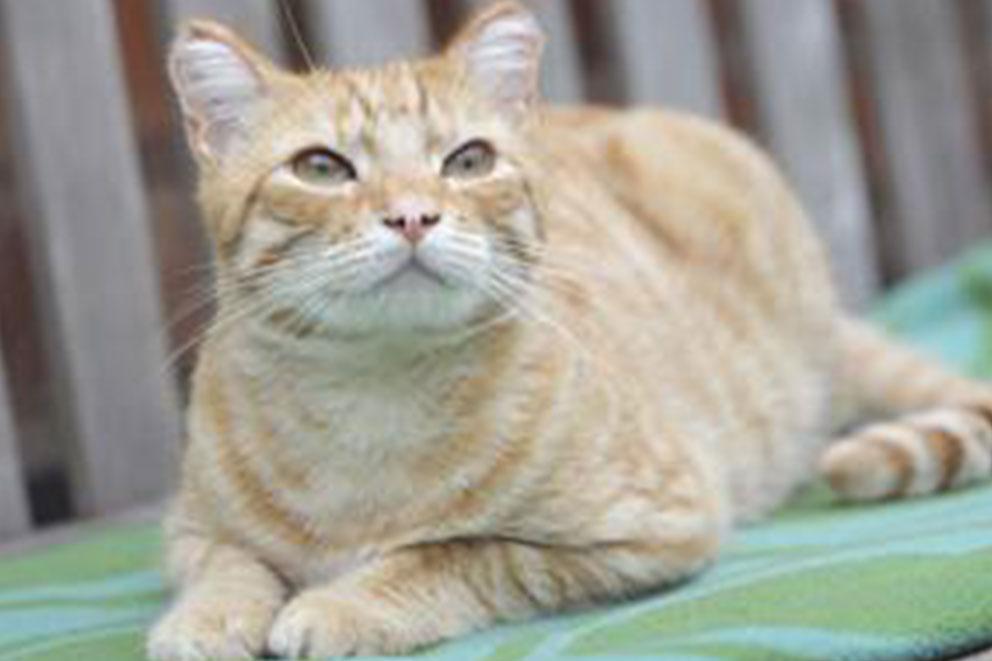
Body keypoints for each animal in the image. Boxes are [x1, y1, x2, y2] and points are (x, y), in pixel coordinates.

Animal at [147, 2, 992, 656]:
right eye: (321, 168)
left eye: (468, 160)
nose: (414, 215)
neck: (371, 394)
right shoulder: (190, 528)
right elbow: (230, 565)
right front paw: (206, 619)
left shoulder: (656, 526)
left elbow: (456, 553)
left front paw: (342, 602)